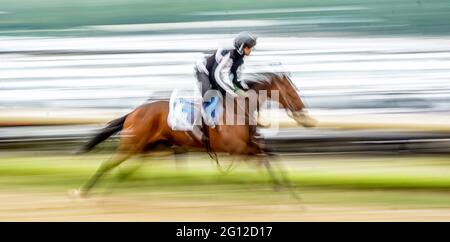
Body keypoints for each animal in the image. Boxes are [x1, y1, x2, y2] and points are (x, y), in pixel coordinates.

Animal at [73, 72, 316, 197]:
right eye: (291, 93)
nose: (304, 114)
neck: (239, 109)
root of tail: (133, 112)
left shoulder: (250, 146)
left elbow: (271, 156)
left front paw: (286, 188)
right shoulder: (238, 150)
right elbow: (265, 159)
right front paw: (282, 188)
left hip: (151, 149)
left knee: (125, 169)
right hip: (132, 146)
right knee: (108, 164)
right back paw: (83, 191)